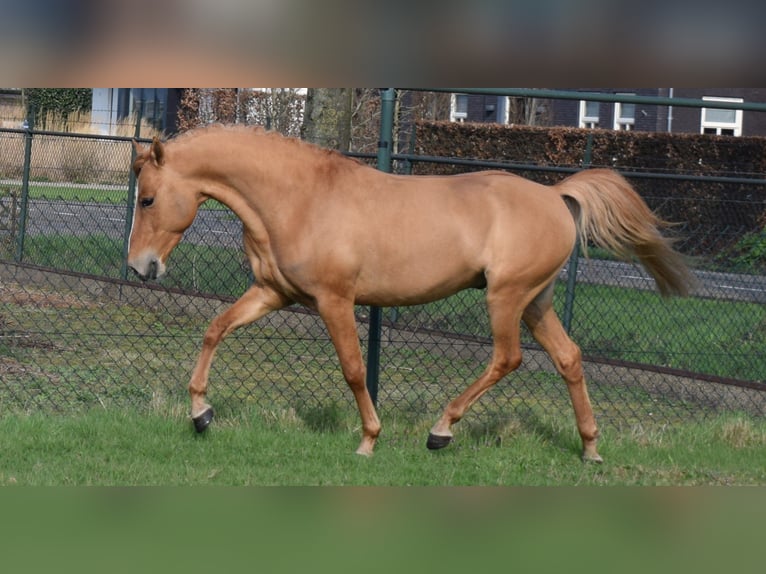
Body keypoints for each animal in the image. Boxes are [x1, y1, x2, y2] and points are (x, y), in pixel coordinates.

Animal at [127, 126, 696, 464]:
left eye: (148, 198)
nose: (140, 267)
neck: (300, 199)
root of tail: (556, 196)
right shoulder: (272, 293)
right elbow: (215, 329)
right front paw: (200, 414)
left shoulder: (335, 301)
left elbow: (354, 369)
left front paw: (368, 440)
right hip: (536, 301)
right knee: (569, 358)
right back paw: (590, 449)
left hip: (506, 298)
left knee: (507, 358)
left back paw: (441, 430)